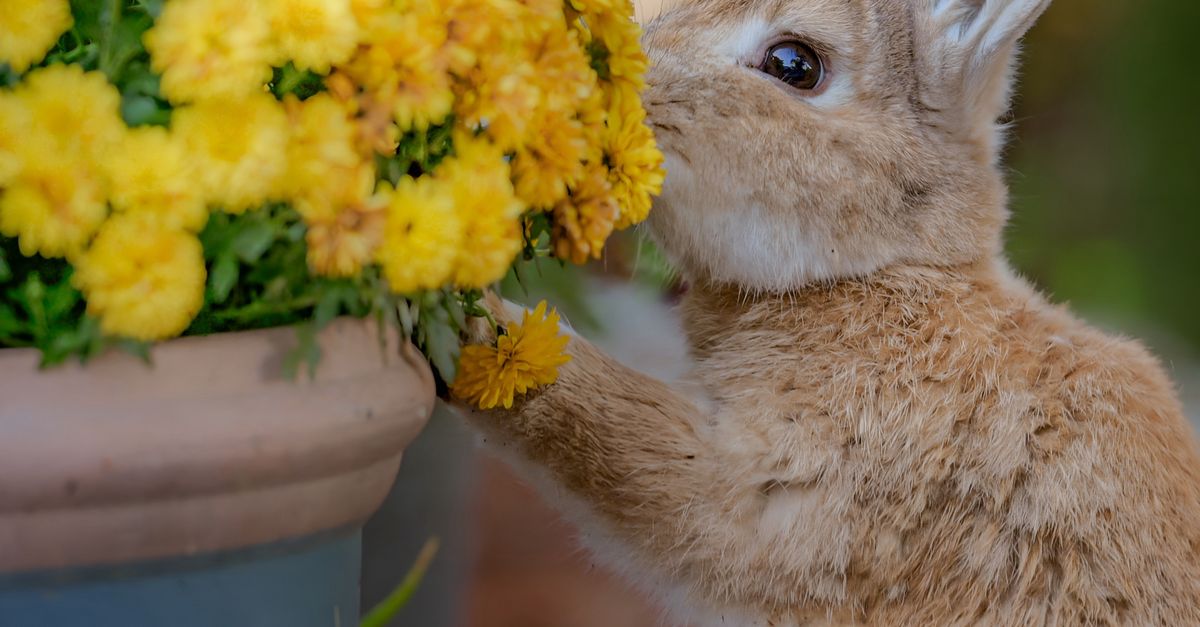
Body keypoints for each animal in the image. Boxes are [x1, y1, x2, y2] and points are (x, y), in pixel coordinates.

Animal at [456, 0, 1200, 624]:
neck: (878, 273)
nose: (620, 70)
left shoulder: (783, 490)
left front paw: (480, 331)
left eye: (795, 65)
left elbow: (596, 424)